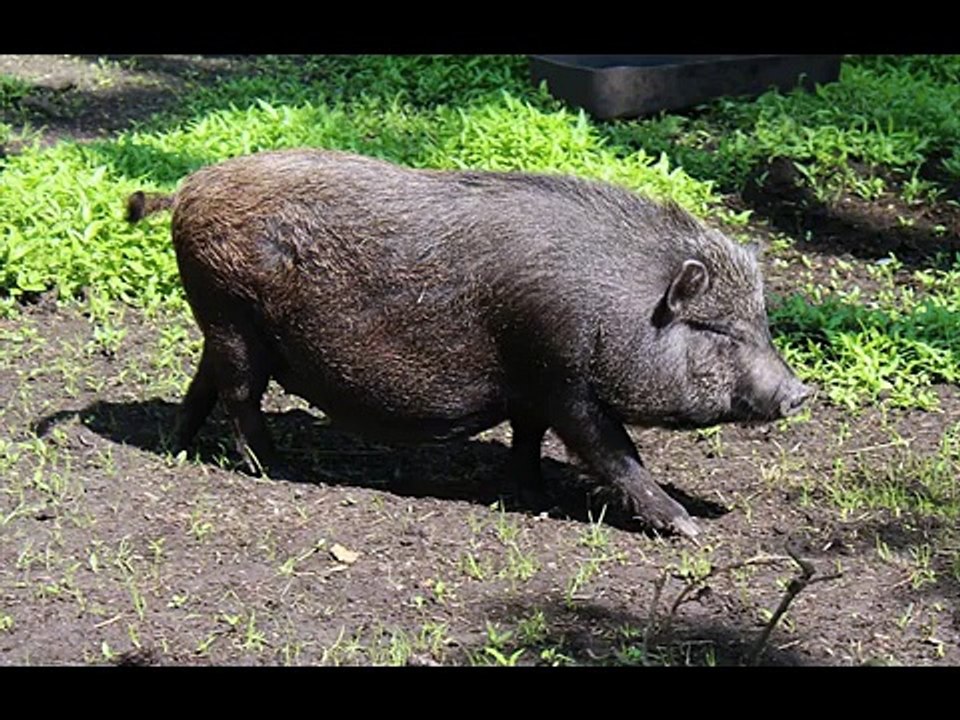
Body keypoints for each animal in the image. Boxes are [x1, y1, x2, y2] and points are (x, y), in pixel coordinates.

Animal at [126, 148, 809, 538]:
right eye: (718, 329)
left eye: (762, 323)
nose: (800, 392)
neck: (624, 308)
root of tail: (186, 189)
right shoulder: (564, 378)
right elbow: (614, 452)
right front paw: (688, 529)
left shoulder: (534, 384)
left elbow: (528, 438)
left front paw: (533, 496)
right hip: (231, 316)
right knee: (241, 394)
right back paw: (280, 469)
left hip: (220, 322)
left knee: (203, 383)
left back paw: (179, 448)